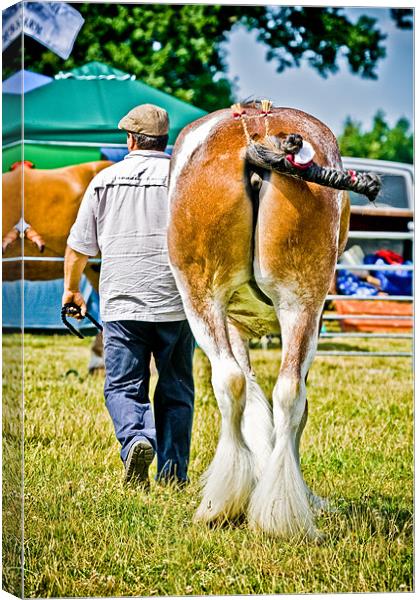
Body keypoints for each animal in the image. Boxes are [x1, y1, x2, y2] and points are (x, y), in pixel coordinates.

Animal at [167, 103, 380, 540]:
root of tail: (261, 141)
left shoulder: (234, 324)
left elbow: (249, 391)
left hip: (204, 299)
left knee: (233, 382)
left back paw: (224, 504)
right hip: (301, 302)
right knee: (288, 394)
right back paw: (278, 509)